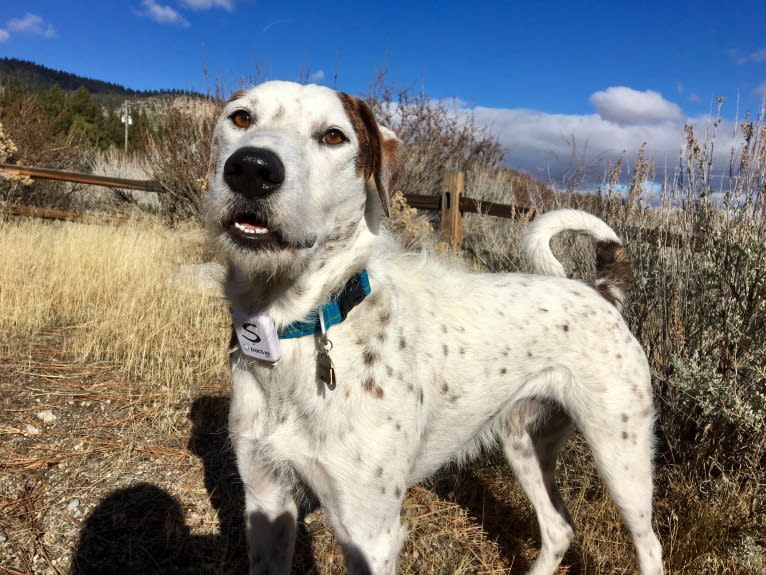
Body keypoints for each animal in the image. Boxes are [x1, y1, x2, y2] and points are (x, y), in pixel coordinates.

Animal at [207, 82, 664, 575]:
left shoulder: (369, 533)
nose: (252, 169)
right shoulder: (265, 499)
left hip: (621, 453)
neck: (297, 325)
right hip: (523, 442)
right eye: (240, 118)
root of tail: (601, 291)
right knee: (559, 528)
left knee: (650, 544)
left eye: (333, 136)